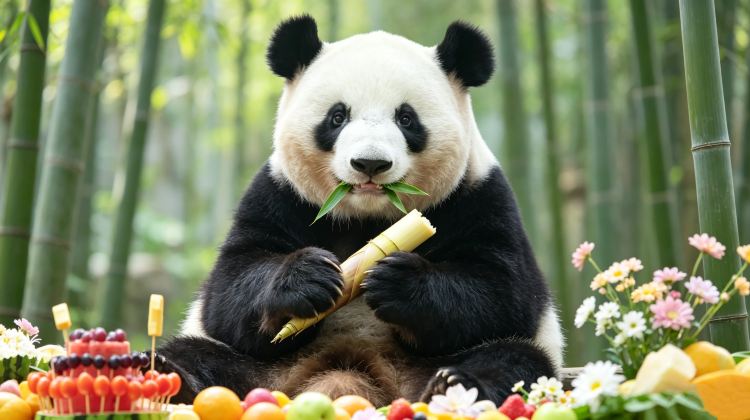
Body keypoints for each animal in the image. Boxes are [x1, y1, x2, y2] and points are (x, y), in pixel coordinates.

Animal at [157, 15, 564, 407]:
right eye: (337, 117)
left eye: (406, 118)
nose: (370, 163)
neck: (369, 217)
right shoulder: (278, 193)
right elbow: (229, 291)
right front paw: (308, 277)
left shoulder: (479, 195)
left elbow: (501, 292)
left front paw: (400, 283)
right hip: (263, 365)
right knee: (200, 352)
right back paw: (172, 377)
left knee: (512, 358)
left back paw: (455, 385)